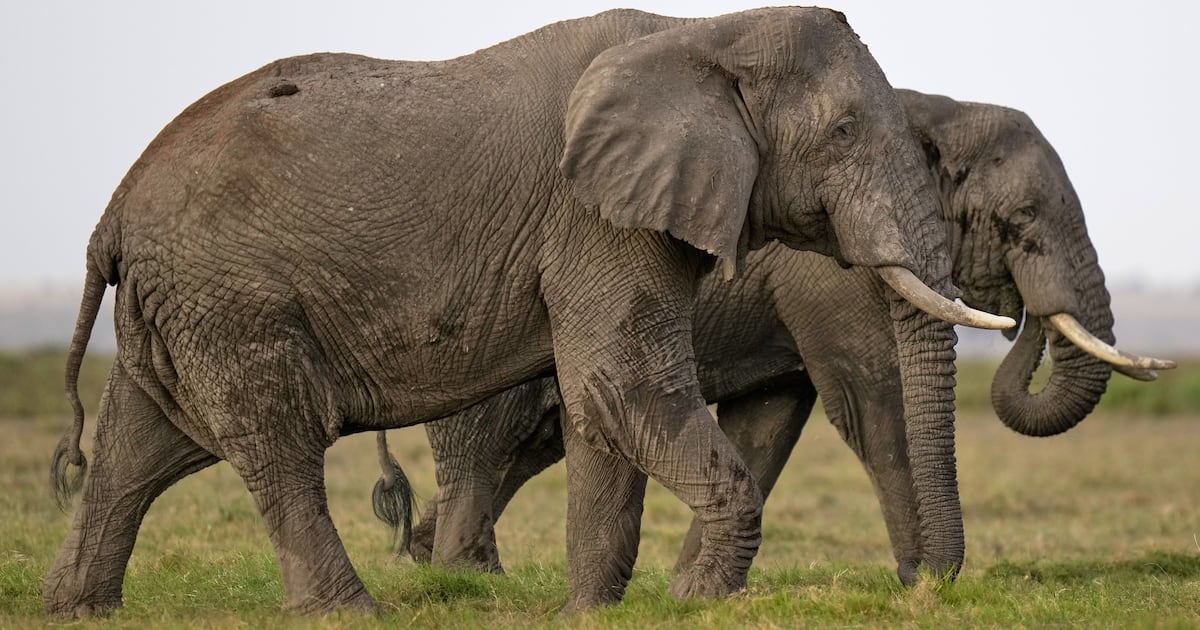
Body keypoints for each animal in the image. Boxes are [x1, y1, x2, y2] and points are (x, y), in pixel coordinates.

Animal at [42, 9, 1021, 617]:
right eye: (846, 133)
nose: (928, 591)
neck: (704, 33)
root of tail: (112, 214)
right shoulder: (595, 215)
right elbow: (625, 383)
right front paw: (692, 601)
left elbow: (605, 405)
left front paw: (592, 609)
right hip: (233, 297)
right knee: (274, 440)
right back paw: (349, 612)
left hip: (190, 301)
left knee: (143, 446)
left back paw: (77, 608)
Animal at [384, 88, 1175, 580]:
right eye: (1023, 220)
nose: (1021, 313)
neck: (936, 111)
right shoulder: (830, 274)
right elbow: (872, 403)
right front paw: (923, 582)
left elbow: (768, 425)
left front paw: (690, 589)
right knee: (486, 444)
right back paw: (471, 579)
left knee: (524, 451)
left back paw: (437, 566)